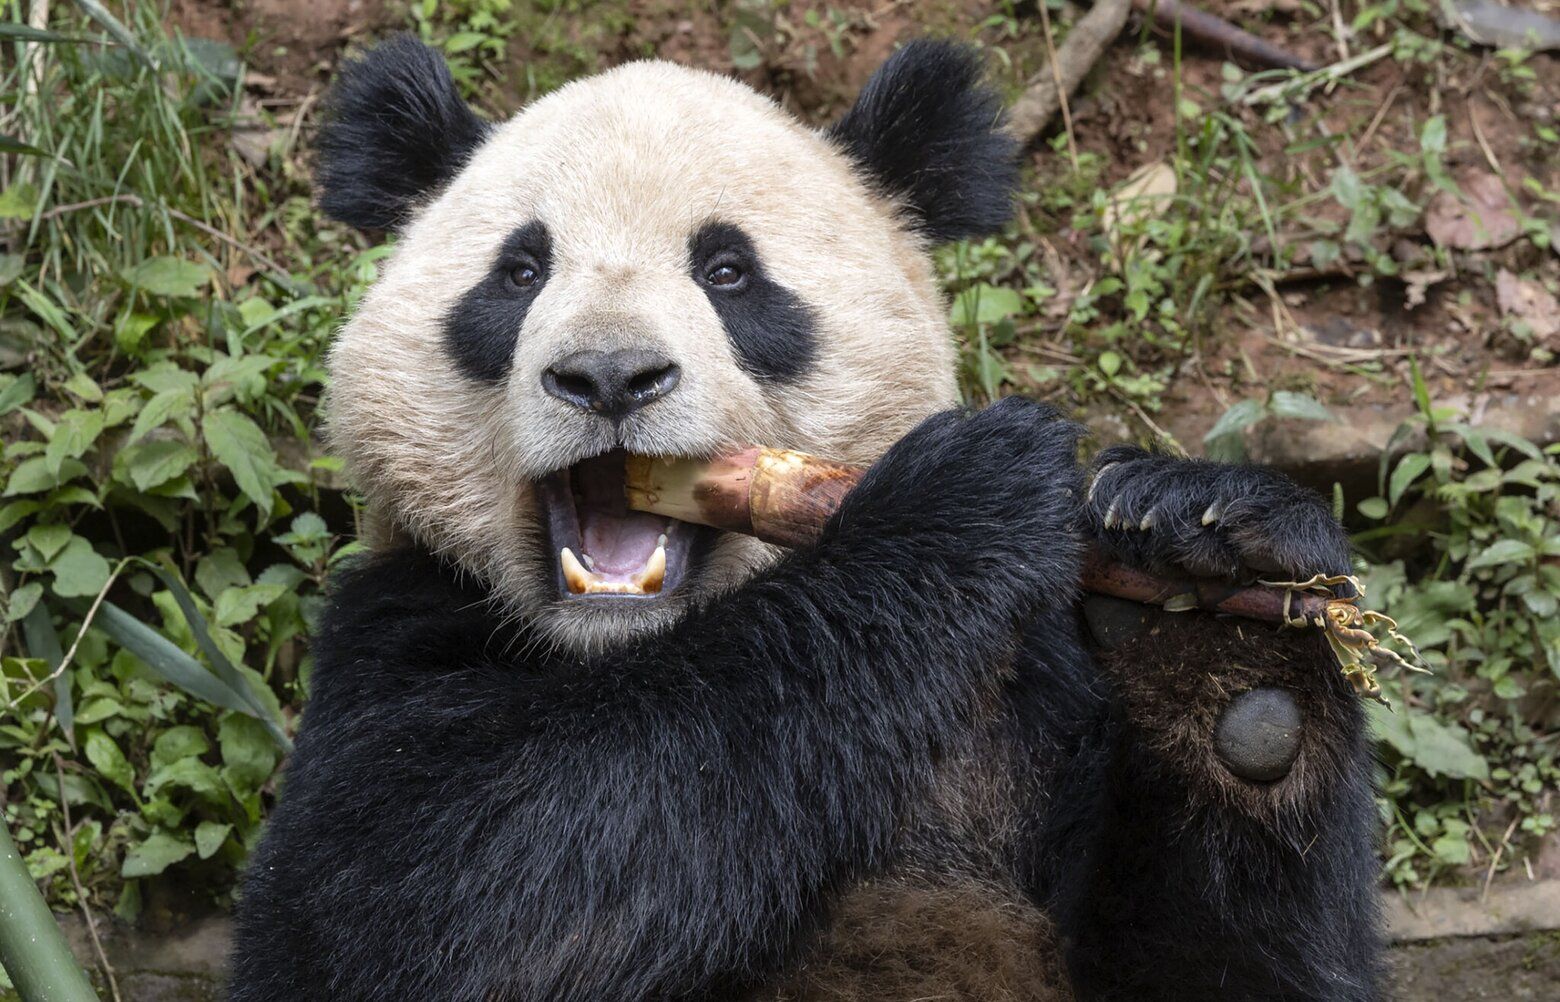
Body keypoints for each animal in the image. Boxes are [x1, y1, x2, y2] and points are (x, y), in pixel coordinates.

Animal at [228, 35, 1383, 1001]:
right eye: (518, 272)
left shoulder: (1031, 698)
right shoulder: (398, 623)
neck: (624, 652)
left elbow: (1236, 971)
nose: (607, 376)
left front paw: (1210, 593)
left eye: (728, 271)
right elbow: (441, 902)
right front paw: (960, 499)